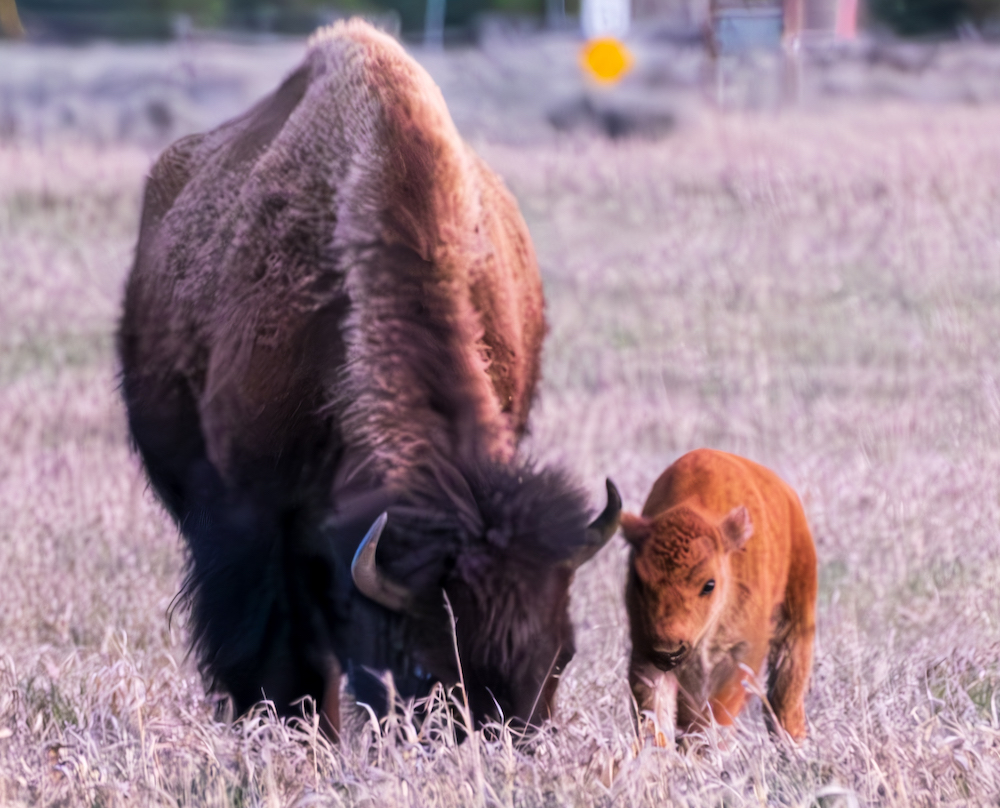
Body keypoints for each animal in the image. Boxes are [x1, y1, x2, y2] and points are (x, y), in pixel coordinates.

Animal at [620, 448, 816, 744]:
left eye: (709, 584)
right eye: (639, 581)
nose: (669, 651)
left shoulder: (739, 656)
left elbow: (712, 715)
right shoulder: (645, 650)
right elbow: (653, 712)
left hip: (796, 622)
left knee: (786, 690)